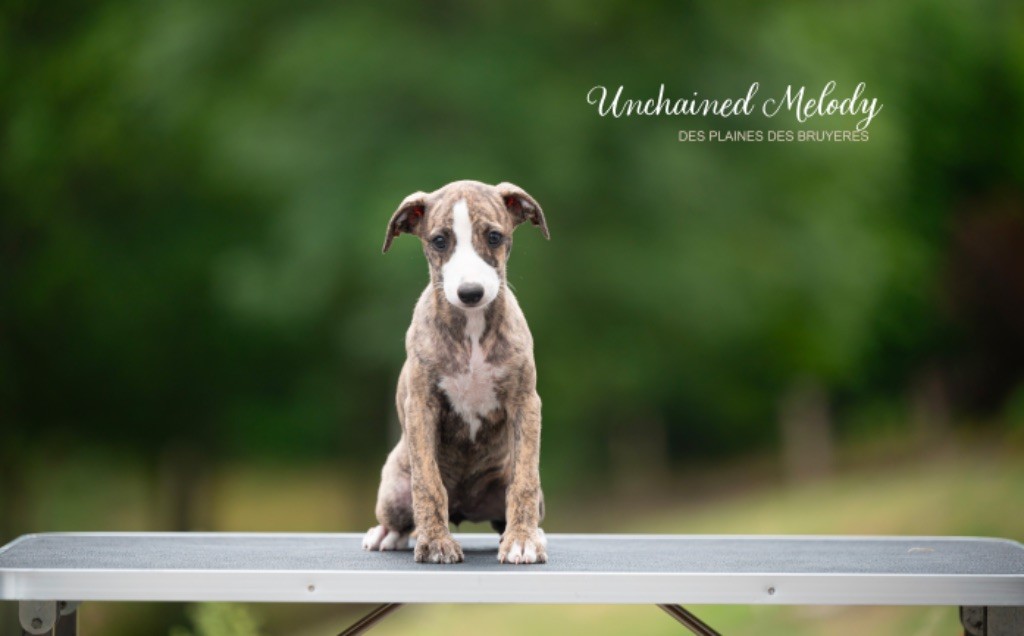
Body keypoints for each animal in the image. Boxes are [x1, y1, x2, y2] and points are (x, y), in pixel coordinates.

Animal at [362, 180, 549, 564]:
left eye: (494, 236)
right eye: (439, 241)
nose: (470, 292)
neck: (472, 329)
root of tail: (465, 507)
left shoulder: (525, 403)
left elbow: (524, 480)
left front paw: (522, 540)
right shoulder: (422, 406)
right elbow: (428, 485)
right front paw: (435, 543)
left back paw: (529, 531)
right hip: (393, 487)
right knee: (402, 515)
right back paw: (386, 534)